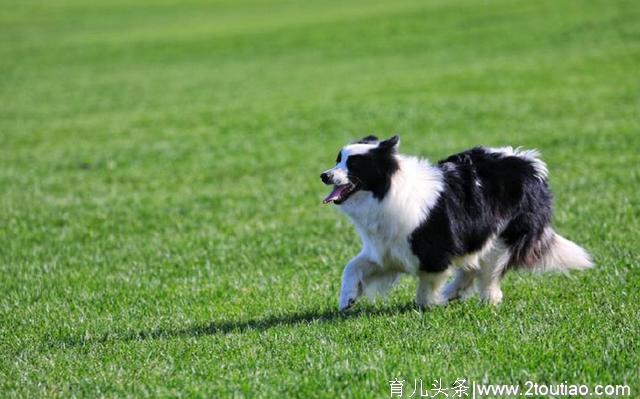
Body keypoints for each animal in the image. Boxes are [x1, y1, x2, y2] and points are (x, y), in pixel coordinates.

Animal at [318, 136, 592, 310]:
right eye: (338, 159)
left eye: (353, 164)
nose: (324, 175)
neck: (388, 189)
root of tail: (530, 163)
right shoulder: (387, 249)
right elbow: (352, 266)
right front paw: (347, 299)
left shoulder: (433, 252)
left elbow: (426, 287)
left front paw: (431, 304)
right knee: (472, 266)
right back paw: (453, 293)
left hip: (502, 238)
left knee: (490, 272)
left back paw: (487, 300)